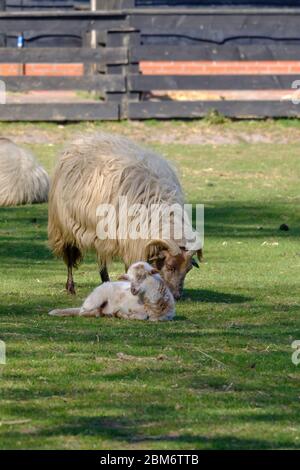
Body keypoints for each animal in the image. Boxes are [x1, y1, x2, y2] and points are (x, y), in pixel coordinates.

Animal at [48, 131, 202, 302]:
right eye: (170, 266)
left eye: (188, 269)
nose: (177, 296)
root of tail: (82, 139)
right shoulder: (130, 240)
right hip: (64, 226)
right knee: (69, 256)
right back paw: (71, 287)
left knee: (101, 259)